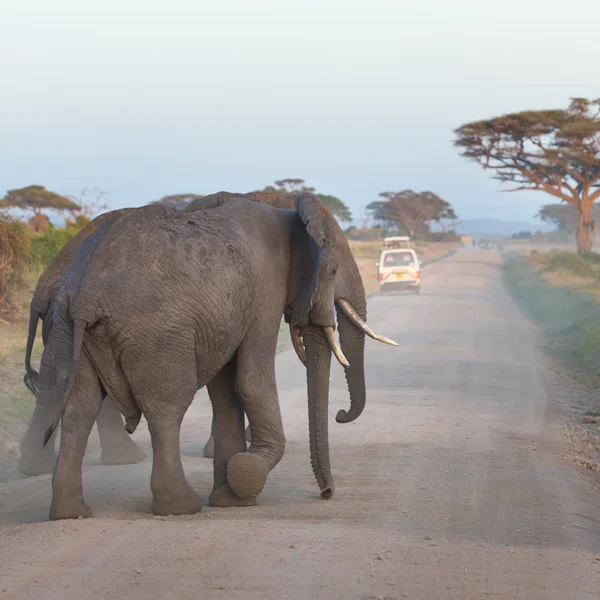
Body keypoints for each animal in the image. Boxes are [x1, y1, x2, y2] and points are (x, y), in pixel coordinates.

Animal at [39, 193, 396, 520]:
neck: (288, 215)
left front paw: (231, 499)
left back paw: (70, 512)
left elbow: (226, 394)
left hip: (64, 327)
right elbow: (252, 382)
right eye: (333, 270)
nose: (326, 493)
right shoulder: (265, 293)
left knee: (79, 408)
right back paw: (180, 507)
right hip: (155, 333)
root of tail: (86, 293)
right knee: (167, 408)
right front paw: (247, 473)